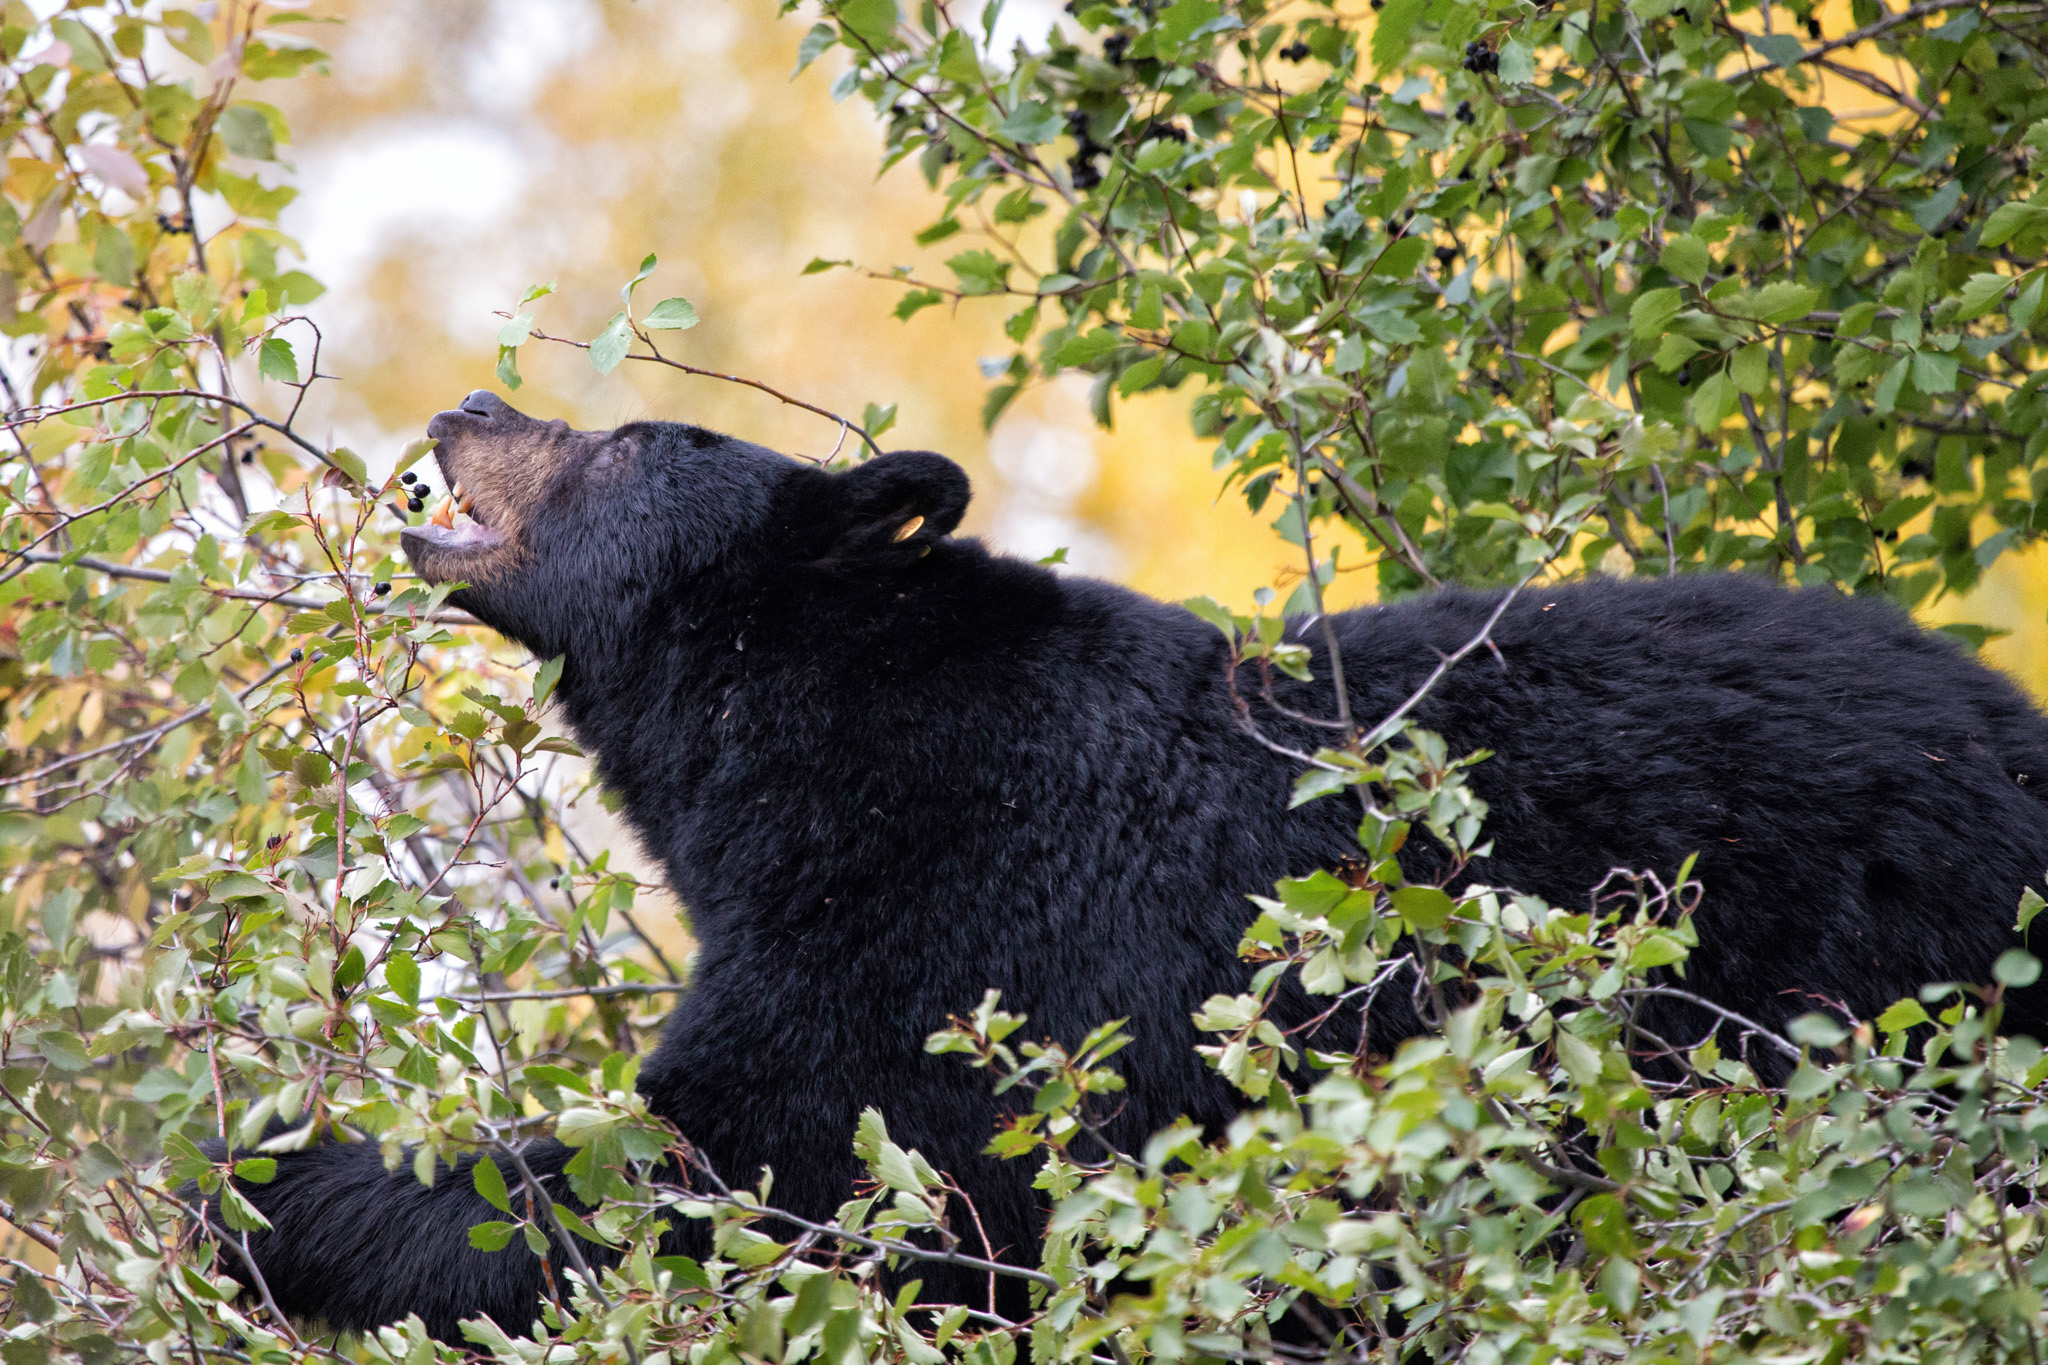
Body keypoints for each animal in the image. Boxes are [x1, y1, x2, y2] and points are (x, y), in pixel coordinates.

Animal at [211, 388, 2048, 1342]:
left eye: (620, 442)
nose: (469, 403)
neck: (798, 745)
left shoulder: (960, 920)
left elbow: (751, 1166)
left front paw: (265, 1185)